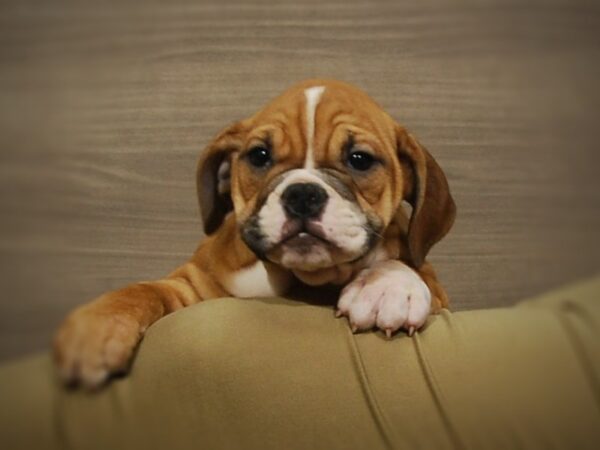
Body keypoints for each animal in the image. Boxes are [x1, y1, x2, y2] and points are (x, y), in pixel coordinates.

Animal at [54, 79, 454, 388]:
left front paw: (387, 288)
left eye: (359, 159)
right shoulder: (190, 287)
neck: (302, 279)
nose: (302, 195)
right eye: (259, 156)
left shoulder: (437, 289)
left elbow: (410, 266)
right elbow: (141, 291)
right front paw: (96, 327)